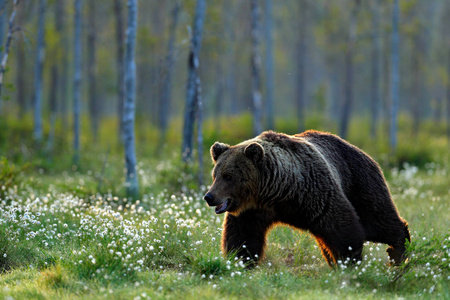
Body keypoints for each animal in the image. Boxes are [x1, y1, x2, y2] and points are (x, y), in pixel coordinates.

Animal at [204, 130, 412, 266]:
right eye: (215, 175)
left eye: (228, 176)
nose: (209, 196)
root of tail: (365, 153)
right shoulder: (252, 211)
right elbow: (242, 238)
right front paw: (240, 261)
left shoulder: (316, 192)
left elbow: (343, 229)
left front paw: (350, 262)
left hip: (359, 181)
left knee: (378, 220)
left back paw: (398, 253)